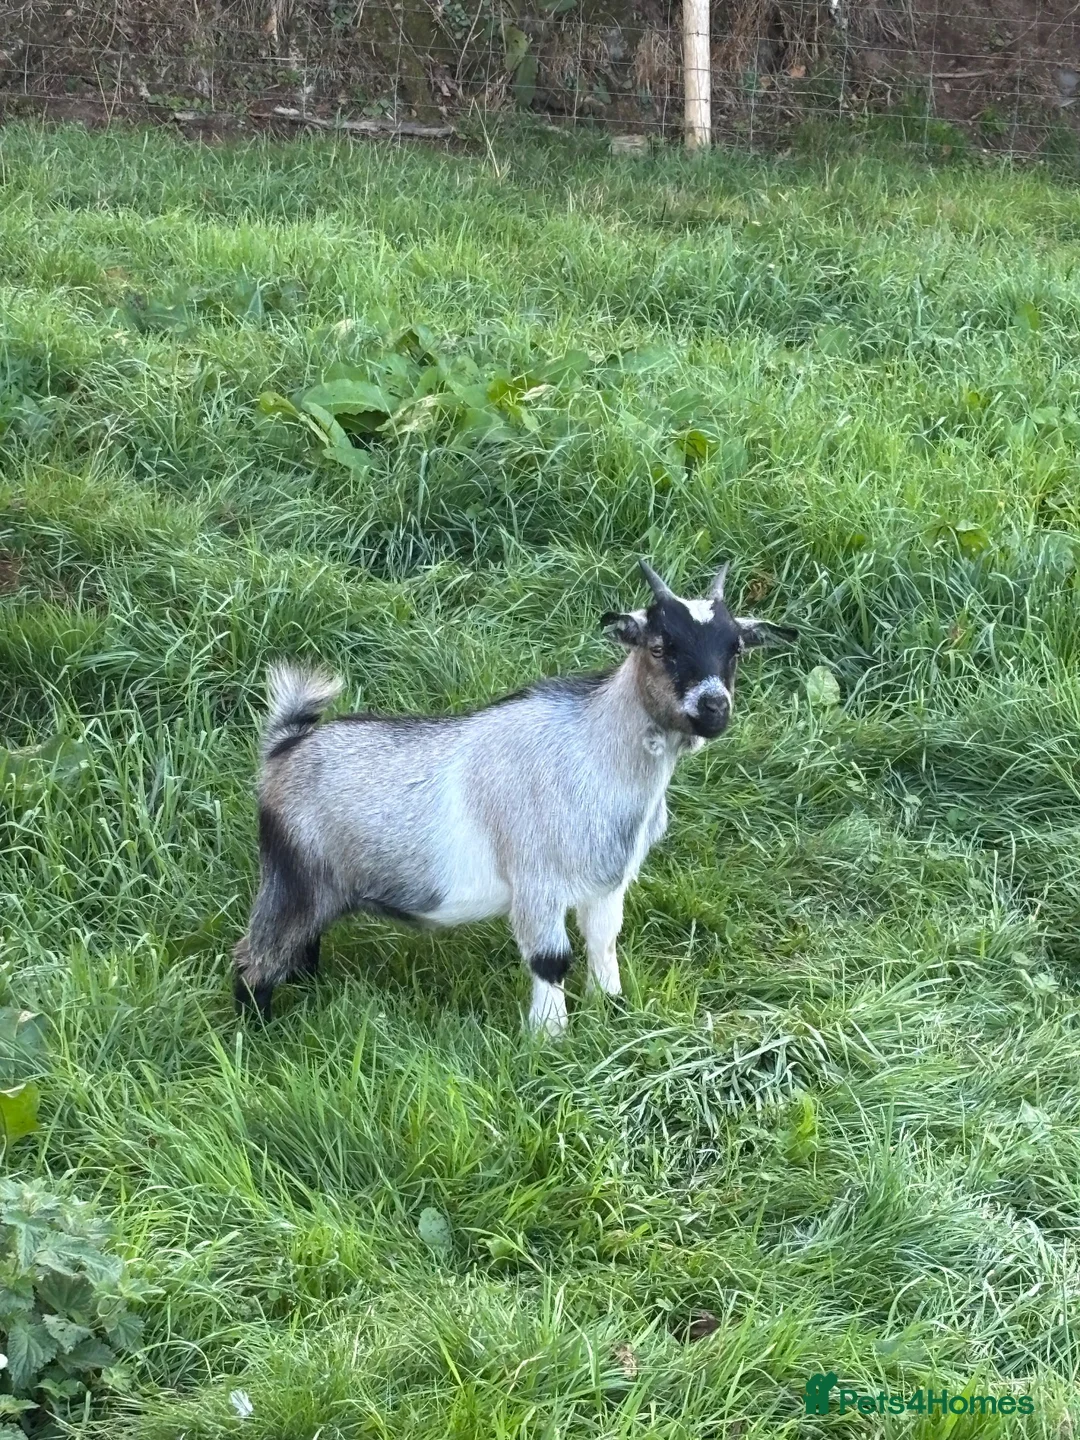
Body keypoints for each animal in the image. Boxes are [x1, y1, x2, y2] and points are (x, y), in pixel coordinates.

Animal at [233, 560, 796, 1033]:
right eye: (659, 646)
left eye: (735, 648)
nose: (713, 708)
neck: (594, 750)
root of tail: (284, 747)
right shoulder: (538, 880)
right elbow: (551, 959)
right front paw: (550, 1038)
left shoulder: (607, 881)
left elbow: (603, 942)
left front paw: (613, 1011)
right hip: (294, 875)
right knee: (253, 959)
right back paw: (256, 1035)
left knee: (302, 945)